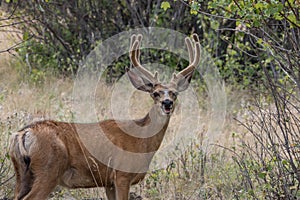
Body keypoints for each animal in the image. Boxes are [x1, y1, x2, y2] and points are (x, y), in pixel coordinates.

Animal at [9, 33, 200, 199]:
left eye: (175, 93)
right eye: (155, 93)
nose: (167, 103)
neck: (141, 141)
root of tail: (23, 134)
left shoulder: (108, 182)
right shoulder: (122, 175)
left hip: (22, 174)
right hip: (49, 170)